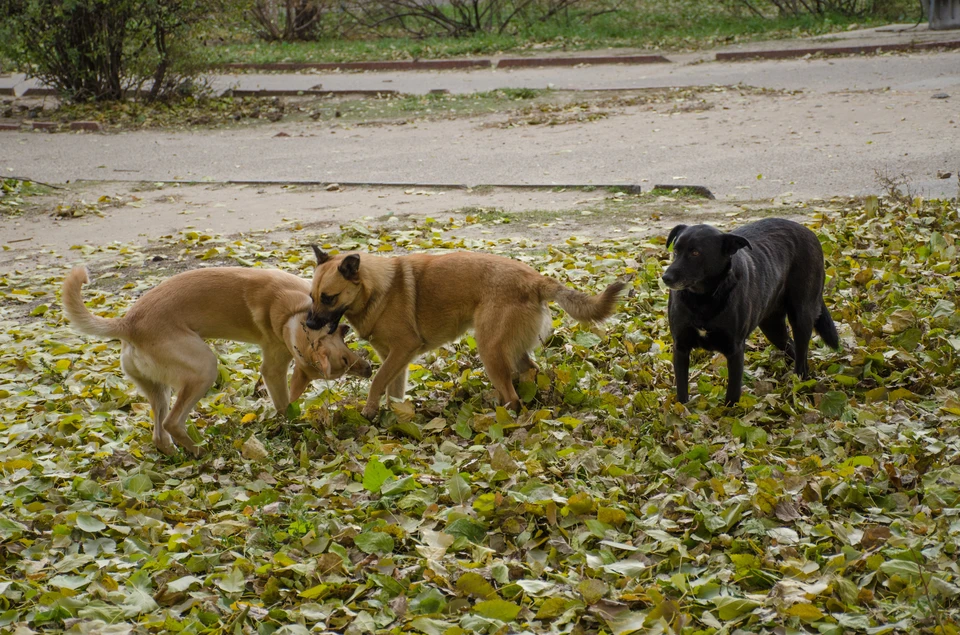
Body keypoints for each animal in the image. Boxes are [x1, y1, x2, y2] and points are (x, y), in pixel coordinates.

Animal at [61, 268, 372, 458]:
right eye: (344, 362)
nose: (369, 371)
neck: (293, 317)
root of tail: (128, 324)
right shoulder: (273, 369)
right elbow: (285, 405)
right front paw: (291, 426)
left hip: (159, 390)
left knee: (160, 435)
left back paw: (180, 455)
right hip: (204, 369)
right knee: (173, 422)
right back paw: (201, 451)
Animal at [304, 250, 628, 422]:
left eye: (329, 298)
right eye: (312, 297)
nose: (307, 324)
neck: (374, 289)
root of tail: (535, 279)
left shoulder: (402, 350)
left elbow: (377, 381)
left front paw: (370, 410)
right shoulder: (396, 359)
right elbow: (392, 391)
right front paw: (396, 419)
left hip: (490, 350)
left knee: (512, 397)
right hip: (510, 351)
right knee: (530, 373)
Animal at [664, 219, 836, 404]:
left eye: (695, 253)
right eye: (675, 251)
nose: (665, 278)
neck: (703, 299)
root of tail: (809, 232)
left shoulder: (735, 349)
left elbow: (732, 394)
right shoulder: (680, 347)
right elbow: (682, 391)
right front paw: (682, 409)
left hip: (801, 317)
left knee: (802, 357)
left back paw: (799, 386)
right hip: (772, 327)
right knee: (792, 347)